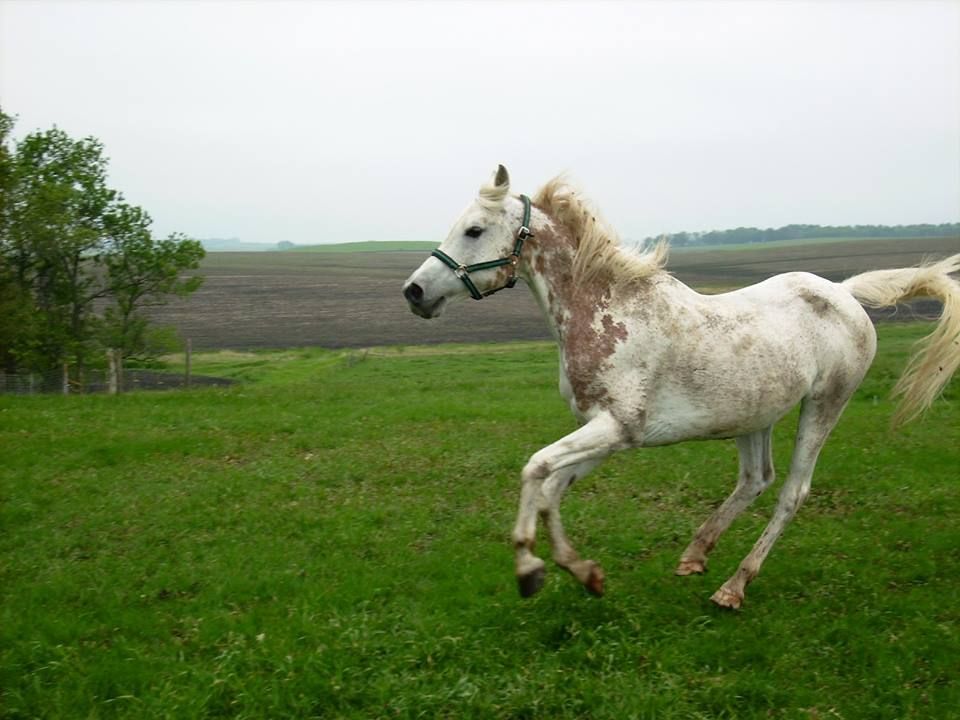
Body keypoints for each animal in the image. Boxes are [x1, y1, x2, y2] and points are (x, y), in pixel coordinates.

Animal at [402, 165, 960, 609]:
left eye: (474, 229)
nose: (414, 292)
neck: (608, 312)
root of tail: (844, 293)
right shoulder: (602, 432)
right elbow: (551, 488)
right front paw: (585, 574)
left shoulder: (616, 429)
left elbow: (534, 469)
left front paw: (528, 571)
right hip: (754, 415)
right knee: (755, 479)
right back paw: (695, 555)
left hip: (825, 405)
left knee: (792, 492)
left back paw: (733, 587)